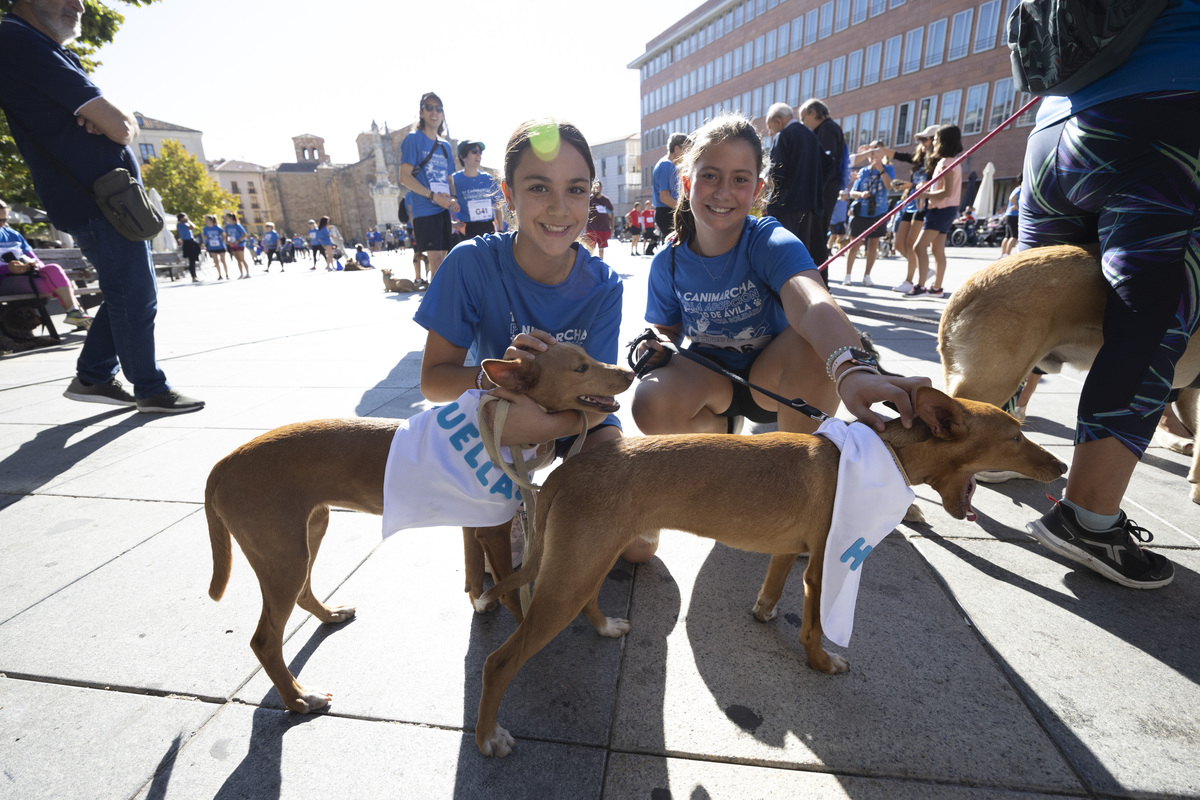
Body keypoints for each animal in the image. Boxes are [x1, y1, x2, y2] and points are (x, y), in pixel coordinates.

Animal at [204, 343, 638, 714]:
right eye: (580, 368)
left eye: (591, 357)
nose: (632, 371)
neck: (498, 424)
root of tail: (223, 463)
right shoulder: (495, 528)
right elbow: (513, 595)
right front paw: (522, 629)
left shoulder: (475, 521)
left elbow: (473, 573)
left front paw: (481, 602)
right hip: (285, 557)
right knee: (264, 640)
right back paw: (298, 698)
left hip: (309, 533)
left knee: (303, 593)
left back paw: (329, 615)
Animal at [472, 388, 1065, 758]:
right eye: (1014, 437)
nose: (1061, 466)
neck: (879, 454)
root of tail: (565, 472)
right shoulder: (824, 568)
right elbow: (813, 627)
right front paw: (820, 663)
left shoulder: (789, 553)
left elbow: (771, 591)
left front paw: (764, 615)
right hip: (572, 573)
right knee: (498, 663)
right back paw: (488, 737)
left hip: (584, 563)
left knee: (587, 602)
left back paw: (603, 626)